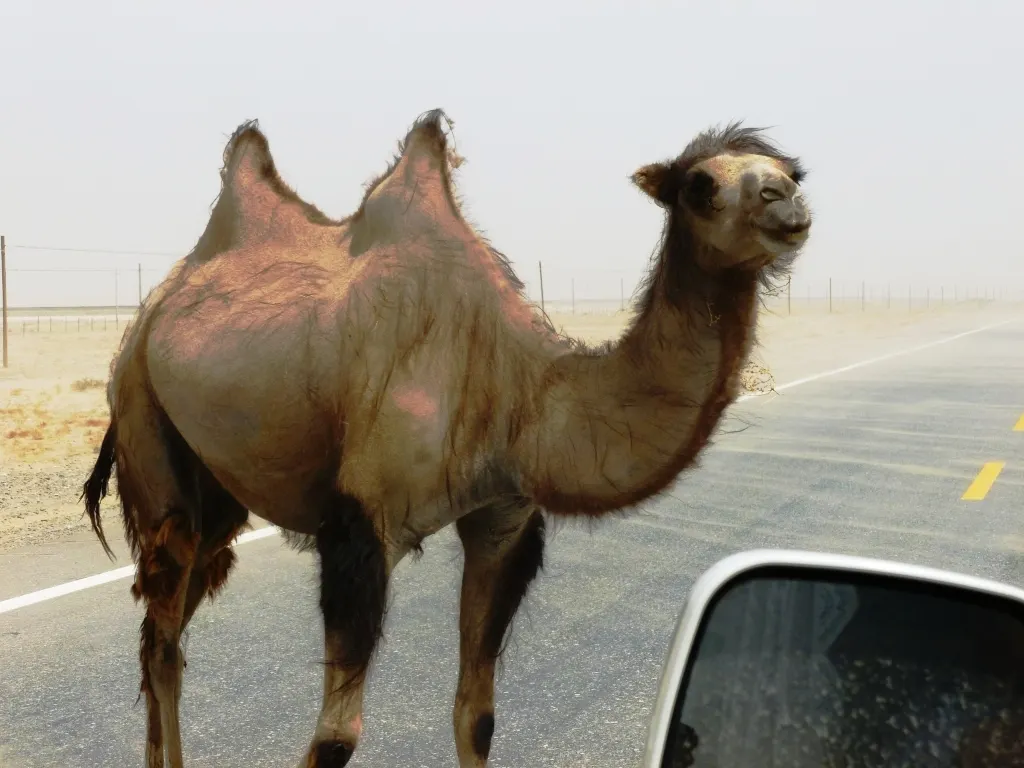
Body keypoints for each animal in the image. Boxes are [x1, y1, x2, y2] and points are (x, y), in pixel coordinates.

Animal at [81, 108, 812, 768]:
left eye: (792, 170)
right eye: (700, 185)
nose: (787, 202)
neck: (520, 386)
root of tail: (155, 308)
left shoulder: (502, 519)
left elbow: (477, 716)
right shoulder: (361, 523)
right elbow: (334, 739)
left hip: (220, 491)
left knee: (167, 630)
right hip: (145, 415)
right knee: (162, 640)